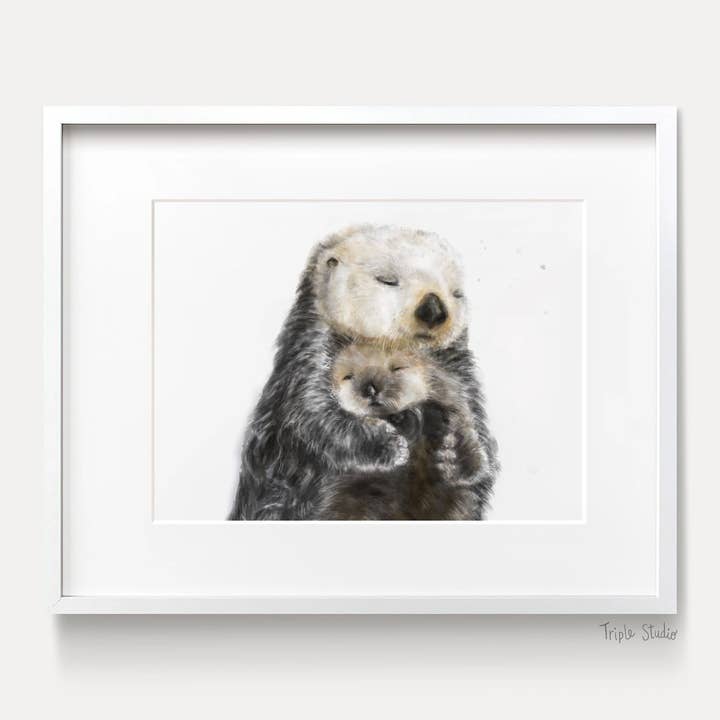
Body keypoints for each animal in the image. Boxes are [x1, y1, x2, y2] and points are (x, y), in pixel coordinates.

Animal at [318, 344, 488, 520]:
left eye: (397, 367)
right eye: (348, 376)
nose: (370, 388)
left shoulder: (450, 401)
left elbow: (465, 433)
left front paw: (453, 459)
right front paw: (392, 446)